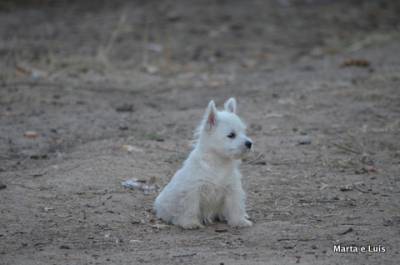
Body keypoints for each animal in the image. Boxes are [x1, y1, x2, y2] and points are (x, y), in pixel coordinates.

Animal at [154, 98, 253, 228]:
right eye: (231, 135)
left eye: (244, 131)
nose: (249, 143)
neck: (218, 163)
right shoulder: (193, 190)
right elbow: (190, 207)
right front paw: (190, 223)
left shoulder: (232, 188)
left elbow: (235, 206)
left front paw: (240, 221)